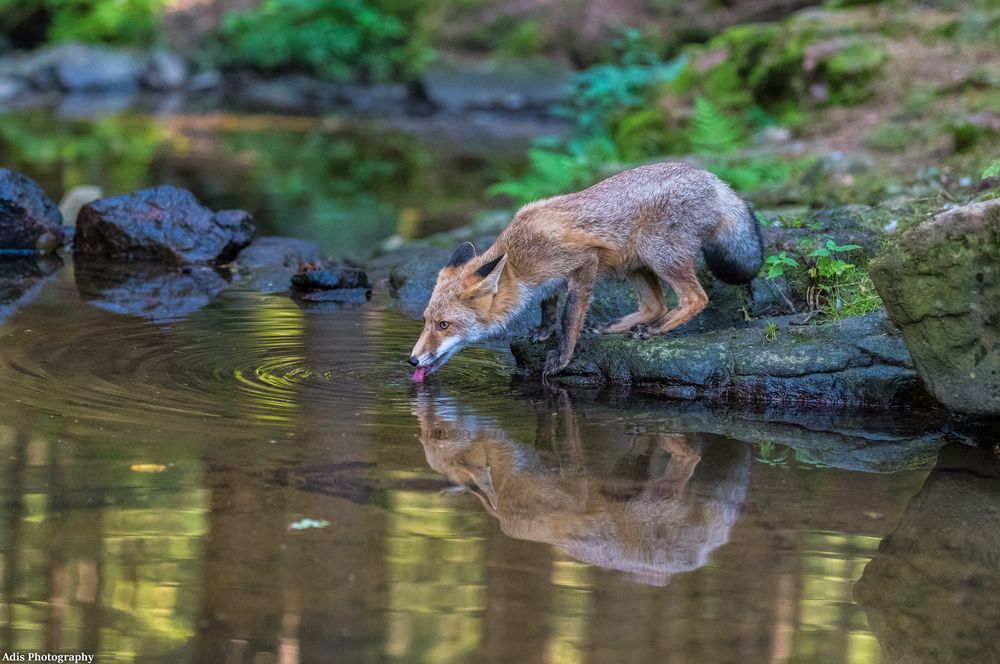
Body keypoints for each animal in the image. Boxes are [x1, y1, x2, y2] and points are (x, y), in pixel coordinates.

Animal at [404, 161, 756, 382]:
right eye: (425, 321)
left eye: (444, 325)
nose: (412, 361)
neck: (518, 261)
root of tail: (712, 178)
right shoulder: (550, 280)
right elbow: (549, 307)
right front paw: (543, 331)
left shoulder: (584, 261)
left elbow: (569, 316)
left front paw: (562, 357)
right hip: (635, 263)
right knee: (656, 305)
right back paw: (613, 326)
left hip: (655, 252)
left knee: (695, 299)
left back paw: (653, 330)